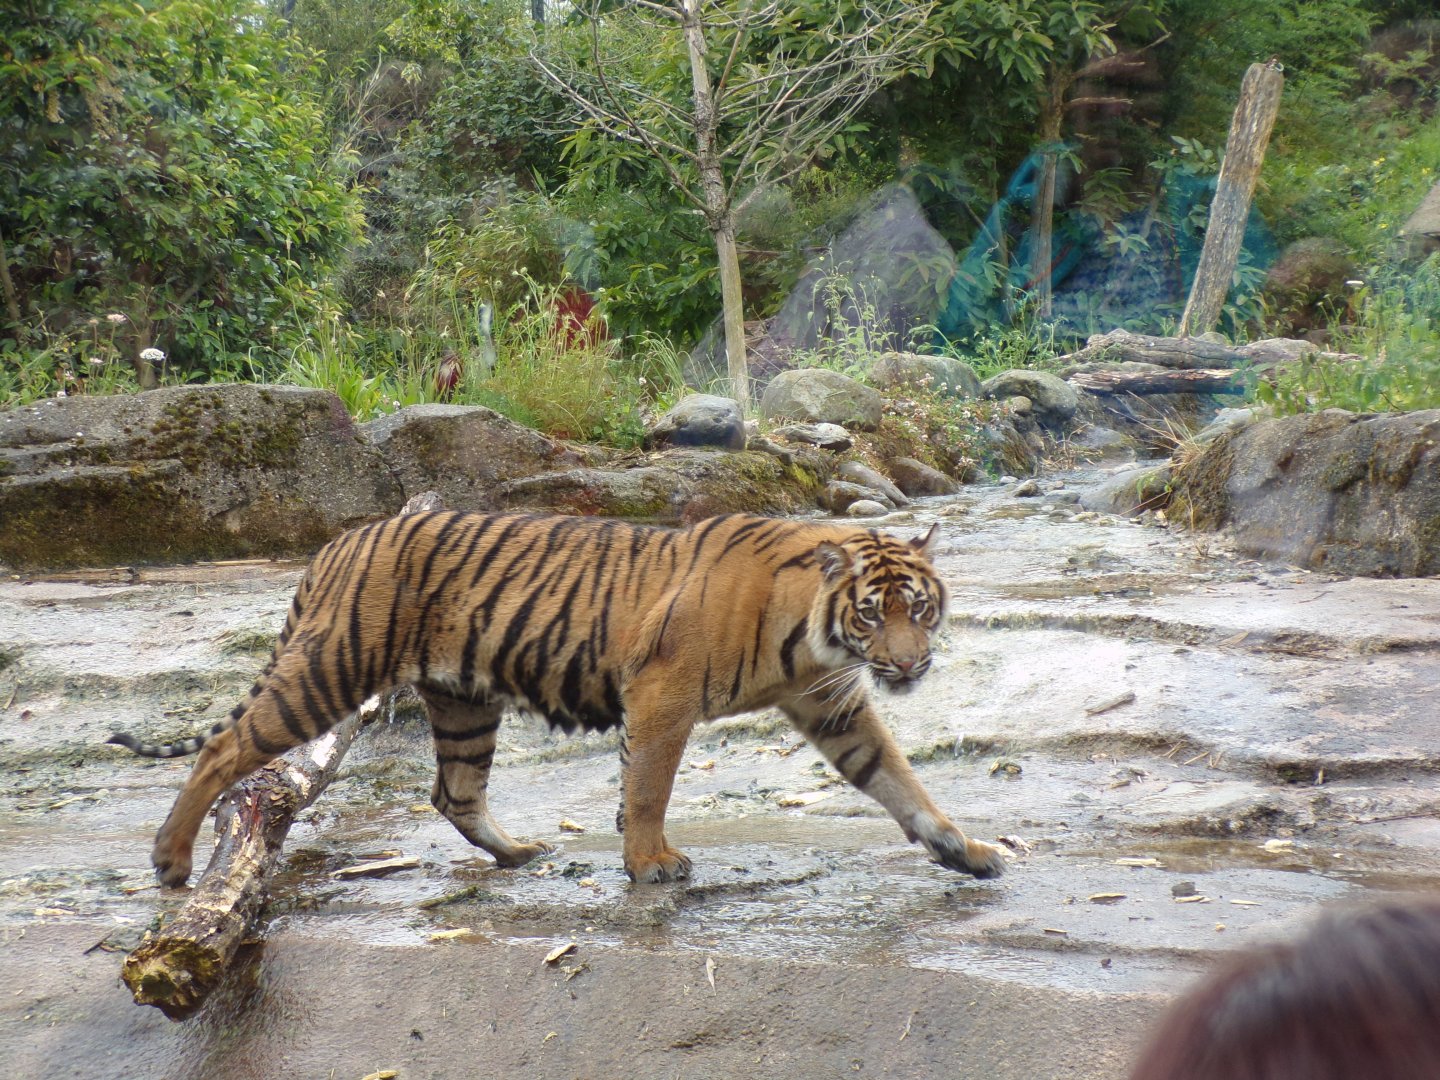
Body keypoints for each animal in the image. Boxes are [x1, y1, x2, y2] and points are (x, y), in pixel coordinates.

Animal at [110, 511, 1008, 887]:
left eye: (919, 608)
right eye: (872, 613)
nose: (909, 664)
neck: (814, 638)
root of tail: (336, 544)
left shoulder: (835, 706)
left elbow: (900, 782)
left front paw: (963, 850)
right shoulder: (663, 693)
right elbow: (647, 788)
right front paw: (651, 864)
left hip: (463, 701)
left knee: (453, 791)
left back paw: (516, 854)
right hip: (330, 668)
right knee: (225, 749)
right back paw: (171, 861)